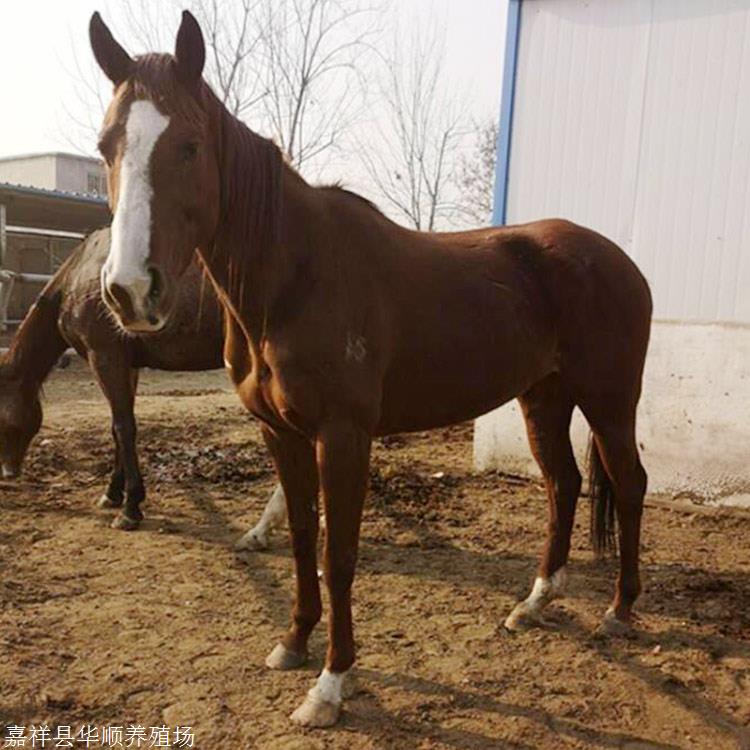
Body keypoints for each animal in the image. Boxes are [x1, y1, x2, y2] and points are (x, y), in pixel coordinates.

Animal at [0, 226, 290, 544]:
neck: (80, 276)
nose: (7, 472)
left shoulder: (105, 357)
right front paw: (113, 494)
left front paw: (130, 509)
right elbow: (118, 427)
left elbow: (124, 428)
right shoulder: (128, 364)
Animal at [88, 10, 652, 728]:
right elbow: (302, 538)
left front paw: (331, 684)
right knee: (564, 484)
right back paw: (534, 603)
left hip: (610, 400)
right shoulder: (282, 433)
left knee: (628, 485)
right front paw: (293, 642)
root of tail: (620, 261)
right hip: (544, 398)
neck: (296, 272)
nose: (130, 290)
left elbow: (339, 554)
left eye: (188, 145)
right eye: (106, 146)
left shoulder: (344, 435)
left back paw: (619, 611)